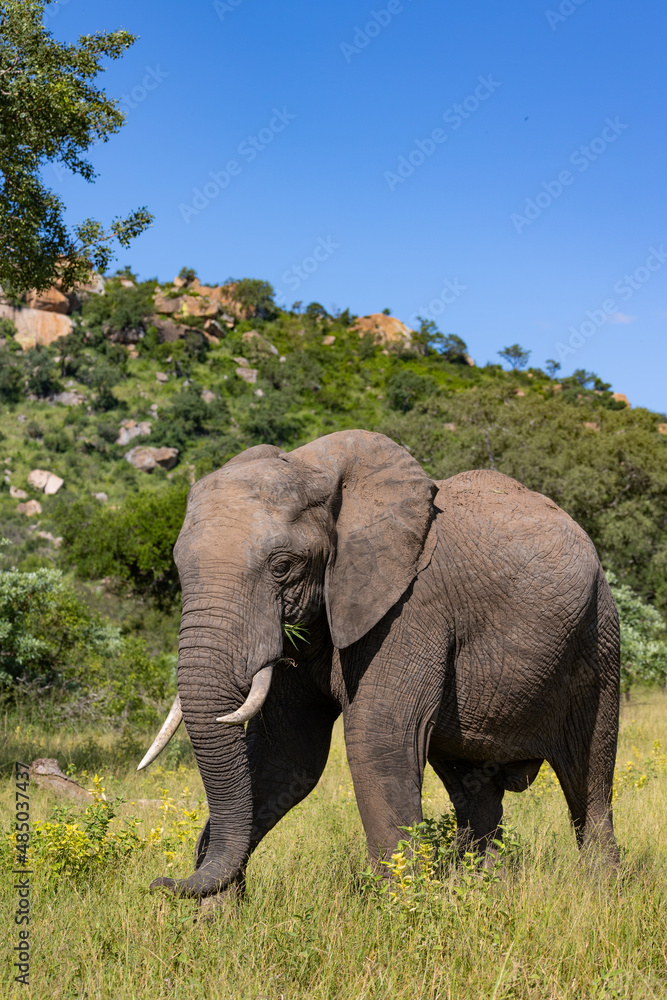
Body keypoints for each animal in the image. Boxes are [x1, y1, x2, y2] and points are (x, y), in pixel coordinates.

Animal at [140, 426, 620, 904]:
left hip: (598, 635)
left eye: (282, 567)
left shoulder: (413, 605)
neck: (319, 471)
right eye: (179, 568)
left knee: (589, 778)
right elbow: (289, 754)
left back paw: (600, 891)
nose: (160, 883)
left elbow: (376, 736)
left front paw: (400, 908)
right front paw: (216, 913)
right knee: (474, 788)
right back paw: (477, 889)